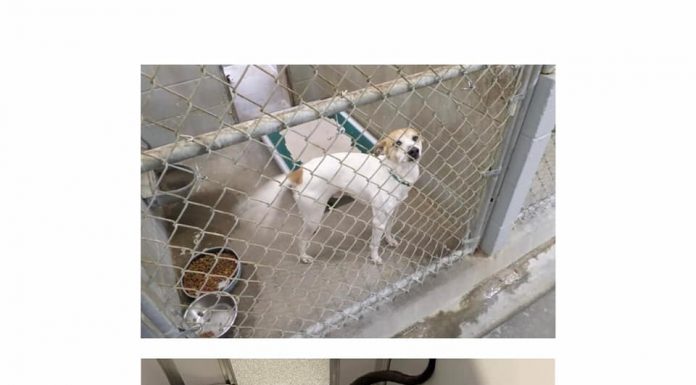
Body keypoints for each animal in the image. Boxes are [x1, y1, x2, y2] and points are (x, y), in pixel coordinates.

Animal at [286, 127, 422, 262]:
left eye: (415, 138)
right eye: (397, 143)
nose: (414, 150)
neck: (394, 173)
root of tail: (300, 172)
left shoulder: (393, 211)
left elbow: (388, 229)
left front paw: (390, 240)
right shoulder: (378, 221)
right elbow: (375, 243)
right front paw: (375, 257)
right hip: (314, 217)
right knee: (300, 239)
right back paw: (303, 256)